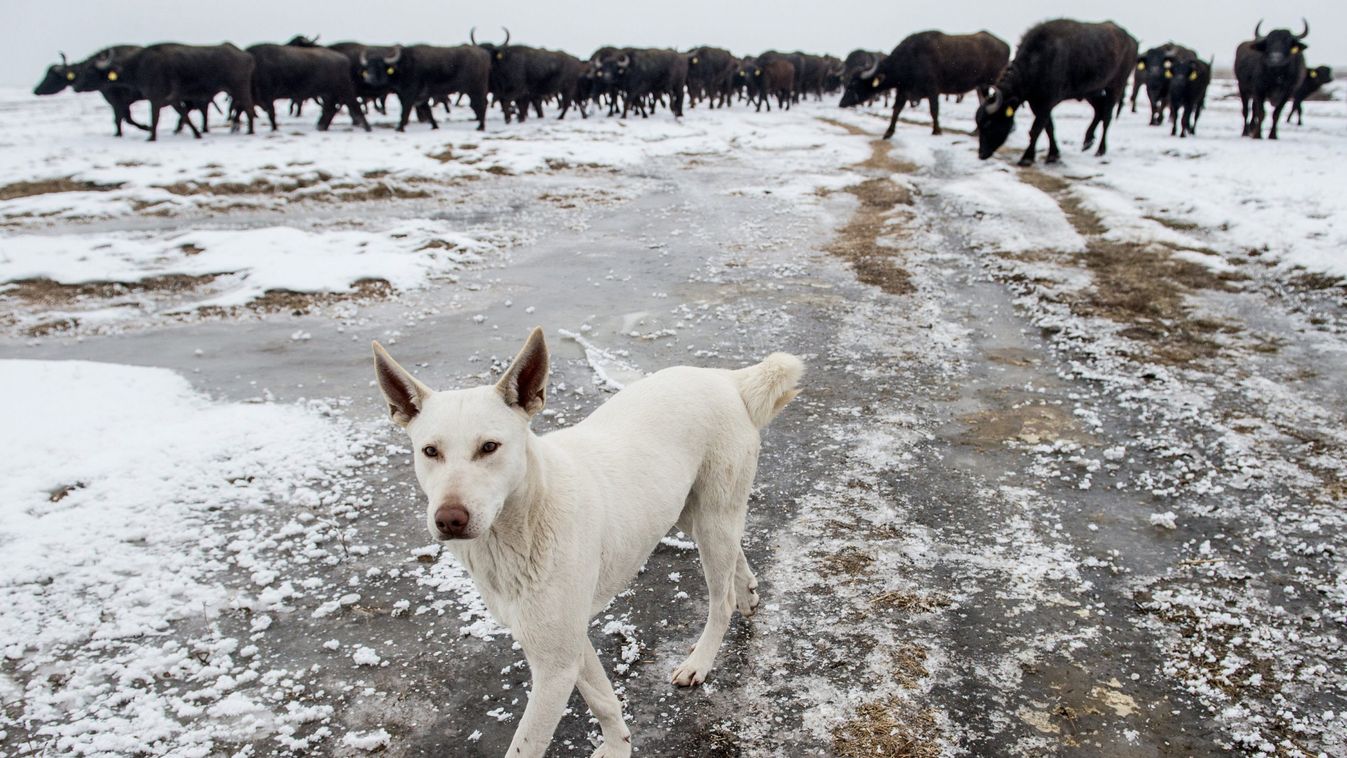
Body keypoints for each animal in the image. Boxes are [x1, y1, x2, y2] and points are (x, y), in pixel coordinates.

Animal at [88, 43, 255, 141]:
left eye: (92, 68)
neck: (140, 65)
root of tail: (245, 55)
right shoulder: (173, 101)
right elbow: (184, 115)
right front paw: (197, 134)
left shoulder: (155, 98)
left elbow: (155, 118)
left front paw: (151, 137)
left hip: (239, 89)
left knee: (249, 108)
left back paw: (250, 131)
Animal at [360, 44, 493, 131]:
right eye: (369, 66)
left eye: (379, 66)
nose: (368, 79)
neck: (403, 67)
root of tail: (484, 54)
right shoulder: (421, 98)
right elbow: (428, 112)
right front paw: (435, 126)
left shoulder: (408, 96)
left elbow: (404, 112)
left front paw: (399, 128)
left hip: (476, 89)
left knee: (481, 105)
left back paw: (480, 126)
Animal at [369, 331, 797, 758]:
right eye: (430, 451)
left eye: (489, 447)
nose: (449, 519)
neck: (524, 524)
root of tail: (725, 378)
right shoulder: (565, 645)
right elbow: (602, 699)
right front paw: (618, 744)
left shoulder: (555, 663)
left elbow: (526, 744)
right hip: (686, 510)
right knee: (732, 551)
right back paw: (747, 591)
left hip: (713, 514)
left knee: (720, 600)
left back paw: (702, 659)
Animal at [835, 31, 1007, 139]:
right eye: (848, 83)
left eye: (854, 84)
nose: (841, 103)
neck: (910, 59)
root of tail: (1004, 45)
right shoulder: (904, 90)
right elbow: (896, 110)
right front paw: (888, 132)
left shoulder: (933, 89)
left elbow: (934, 110)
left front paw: (937, 130)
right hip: (981, 86)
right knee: (984, 103)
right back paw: (976, 131)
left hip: (991, 83)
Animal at [980, 20, 1136, 165]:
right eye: (978, 122)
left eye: (988, 124)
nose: (981, 154)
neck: (1039, 60)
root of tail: (1131, 40)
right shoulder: (1036, 103)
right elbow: (1049, 127)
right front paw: (1053, 154)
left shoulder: (1046, 103)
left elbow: (1036, 129)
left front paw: (1027, 157)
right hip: (1091, 91)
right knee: (1099, 110)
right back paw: (1087, 141)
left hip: (1115, 87)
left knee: (1107, 117)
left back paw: (1100, 149)